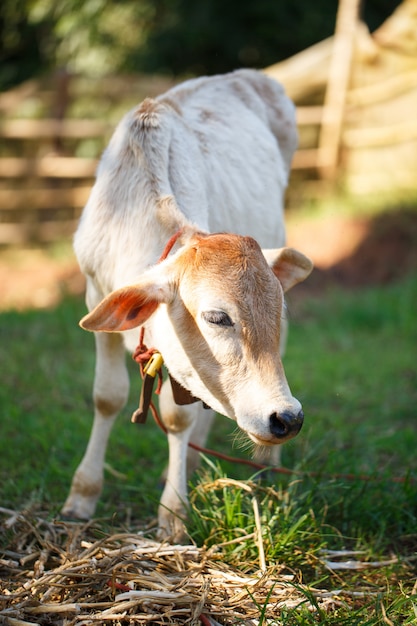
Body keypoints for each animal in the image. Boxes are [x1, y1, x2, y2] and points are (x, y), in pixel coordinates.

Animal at [62, 67, 312, 536]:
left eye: (276, 309)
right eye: (216, 317)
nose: (287, 418)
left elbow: (179, 417)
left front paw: (173, 513)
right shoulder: (94, 293)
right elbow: (107, 396)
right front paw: (82, 495)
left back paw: (264, 463)